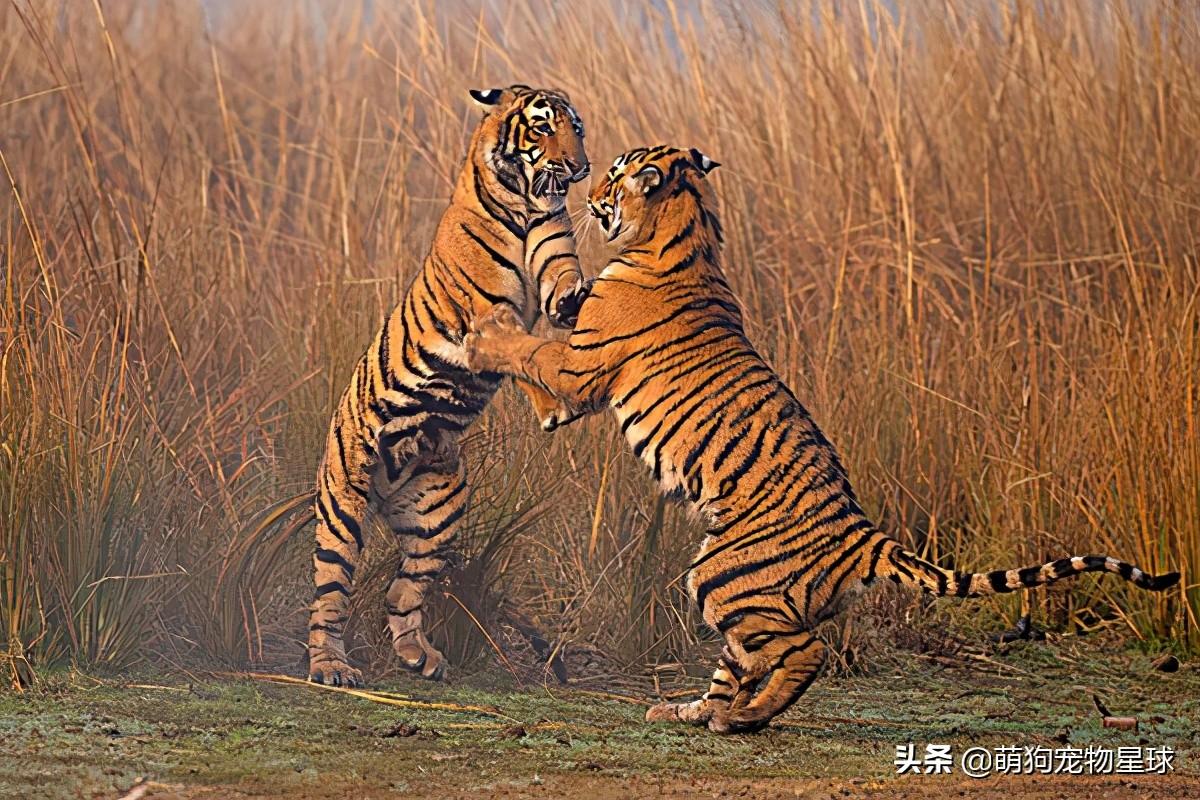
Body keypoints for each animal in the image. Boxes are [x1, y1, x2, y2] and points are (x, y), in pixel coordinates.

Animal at [306, 85, 592, 687]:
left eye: (576, 129)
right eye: (543, 128)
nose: (581, 166)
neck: (527, 202)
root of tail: (384, 490)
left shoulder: (553, 263)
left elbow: (561, 296)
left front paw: (584, 299)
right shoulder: (489, 318)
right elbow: (523, 355)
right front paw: (556, 402)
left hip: (441, 514)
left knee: (402, 593)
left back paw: (421, 656)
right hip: (342, 509)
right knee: (329, 598)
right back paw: (331, 667)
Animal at [462, 145, 1181, 733]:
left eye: (616, 176)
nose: (588, 193)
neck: (689, 233)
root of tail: (865, 534)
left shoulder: (577, 375)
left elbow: (528, 352)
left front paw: (482, 332)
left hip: (720, 575)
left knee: (802, 652)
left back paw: (739, 719)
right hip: (730, 584)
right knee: (742, 661)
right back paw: (693, 712)